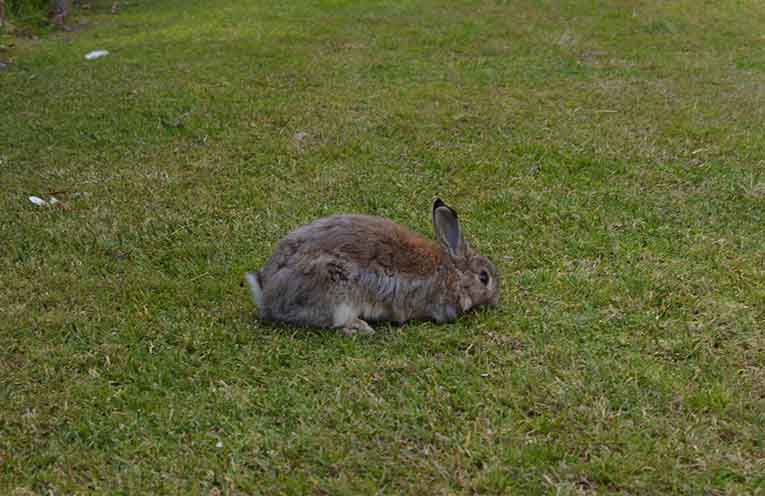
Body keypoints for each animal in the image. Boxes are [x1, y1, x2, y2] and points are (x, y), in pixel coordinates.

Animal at [245, 198, 500, 335]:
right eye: (484, 277)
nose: (496, 300)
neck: (453, 272)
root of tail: (266, 292)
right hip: (334, 290)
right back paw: (360, 328)